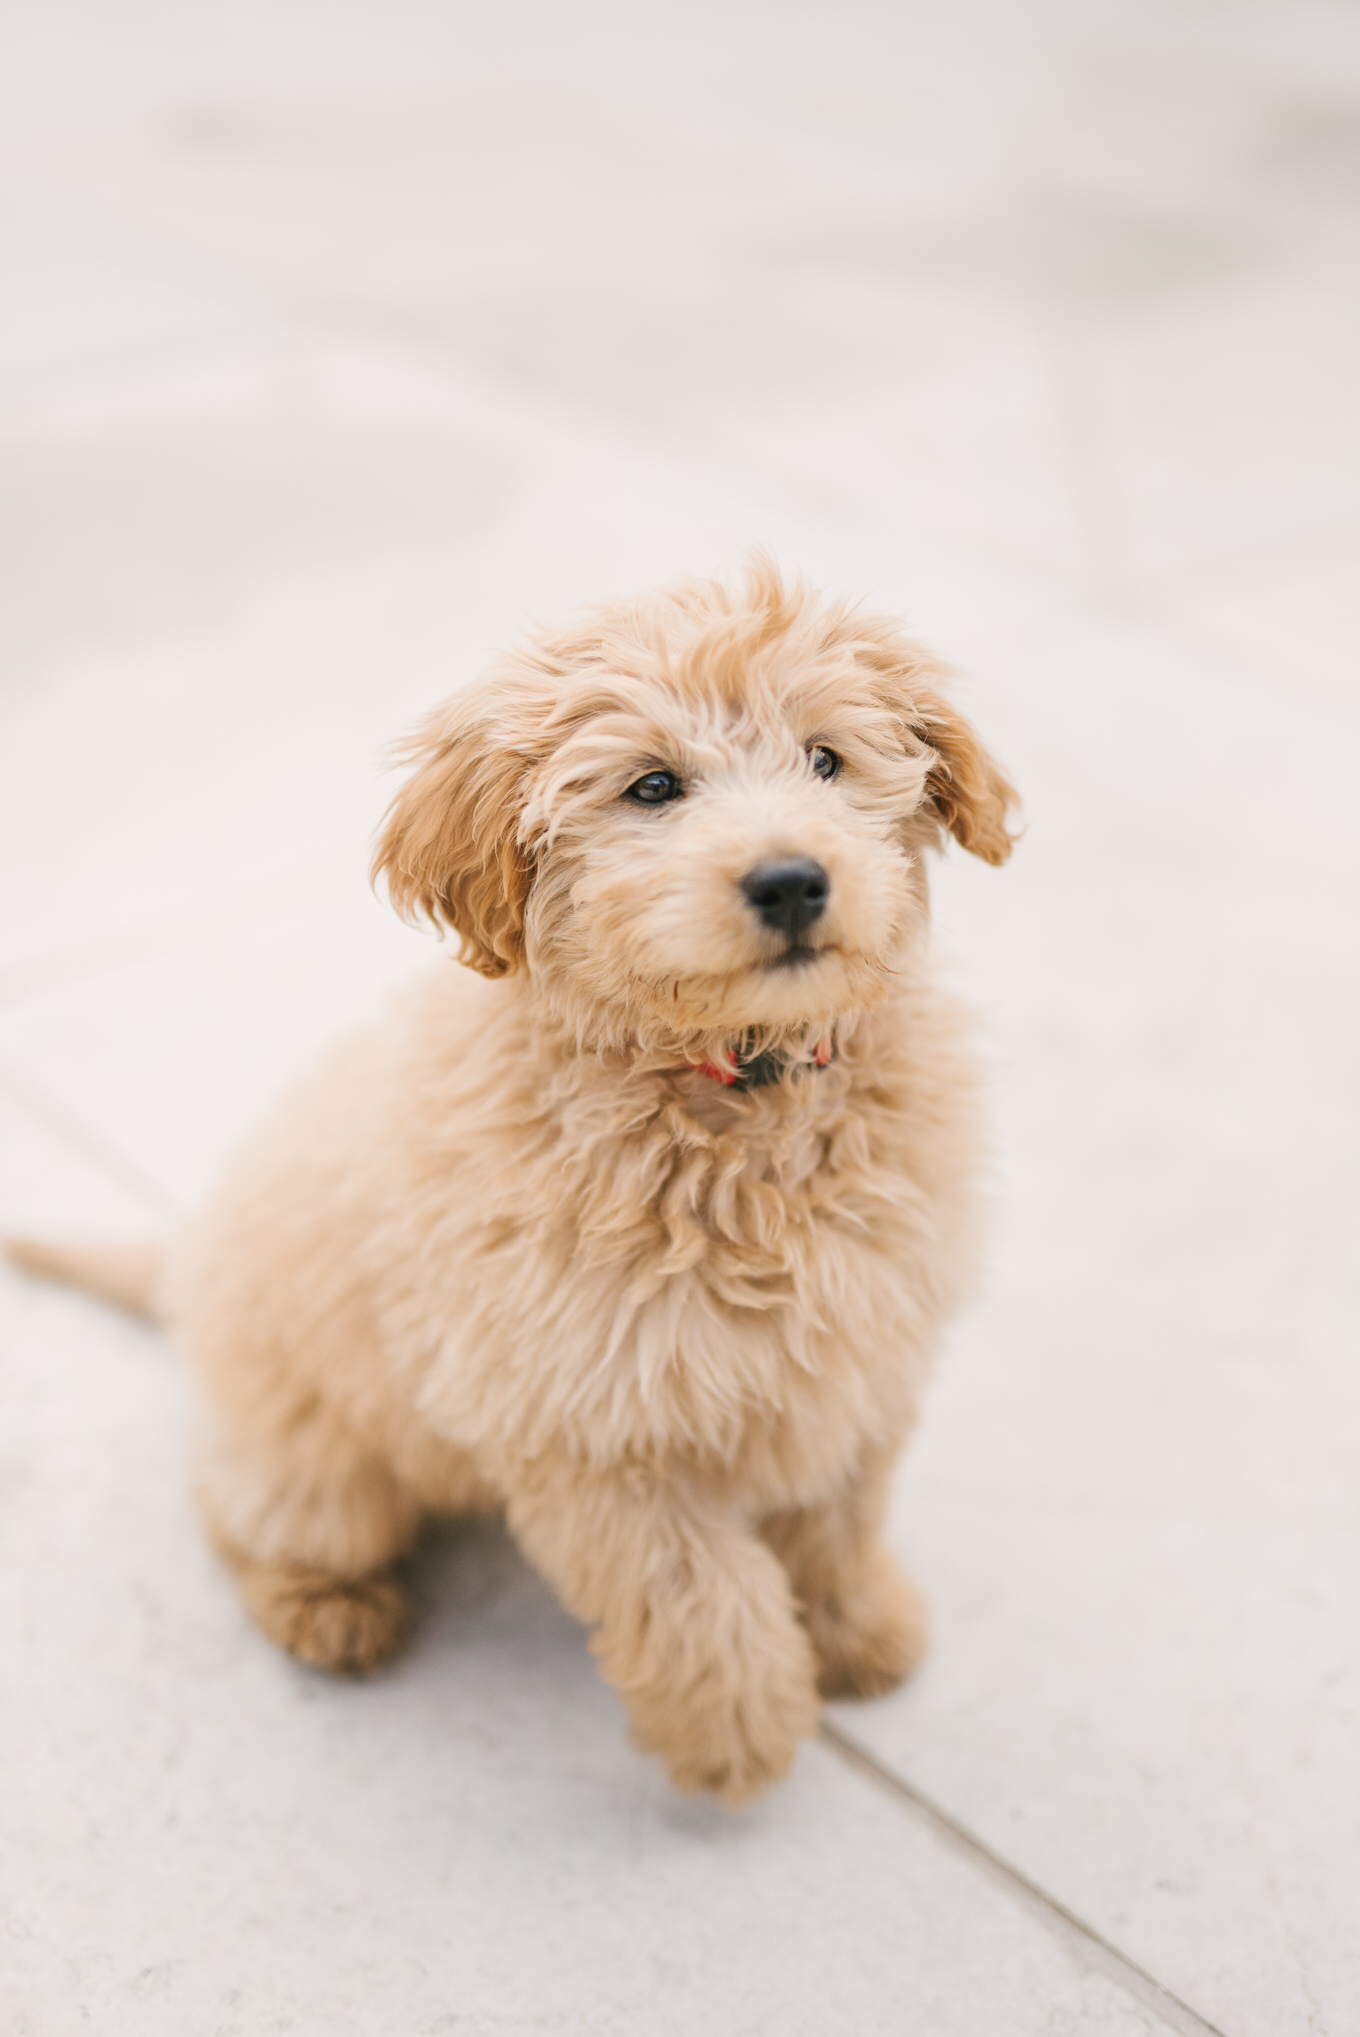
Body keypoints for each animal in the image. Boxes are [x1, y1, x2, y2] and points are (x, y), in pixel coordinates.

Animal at [7, 558, 1009, 1800]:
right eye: (652, 786)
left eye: (826, 759)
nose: (790, 881)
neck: (738, 1096)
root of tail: (185, 1257)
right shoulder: (591, 1427)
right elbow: (693, 1591)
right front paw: (740, 1735)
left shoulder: (857, 1356)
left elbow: (838, 1519)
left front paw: (856, 1631)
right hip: (317, 1465)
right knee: (242, 1511)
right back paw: (328, 1610)